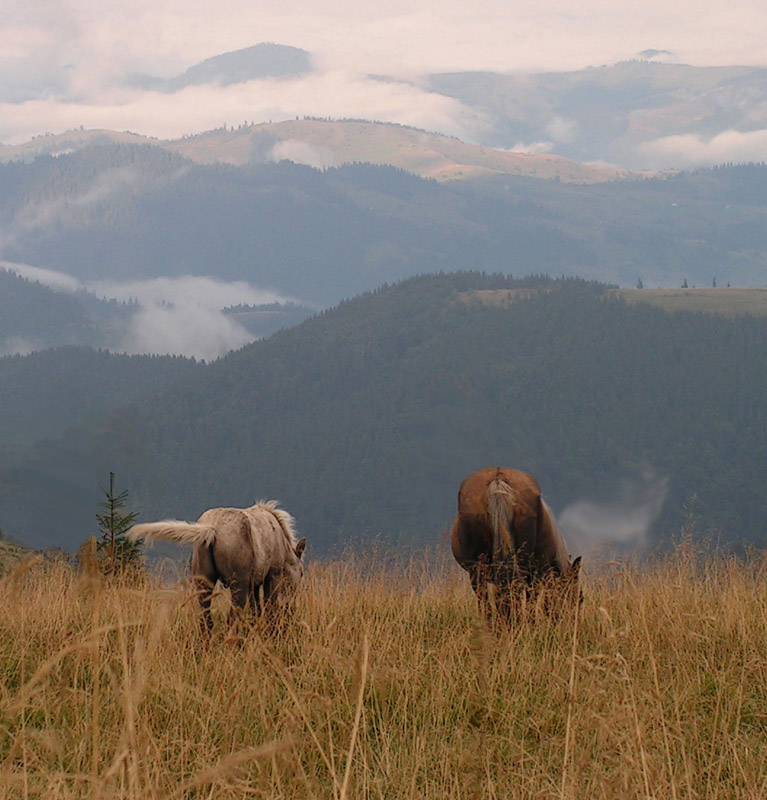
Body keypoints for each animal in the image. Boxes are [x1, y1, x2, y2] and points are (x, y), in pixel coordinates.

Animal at [127, 496, 304, 636]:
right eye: (301, 573)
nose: (293, 605)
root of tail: (211, 530)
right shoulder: (272, 575)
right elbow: (268, 608)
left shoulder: (255, 581)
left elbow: (256, 609)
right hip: (238, 583)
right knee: (232, 618)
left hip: (204, 579)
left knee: (206, 620)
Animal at [450, 468, 584, 620]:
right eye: (580, 598)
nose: (574, 621)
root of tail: (497, 481)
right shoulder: (536, 573)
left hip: (478, 570)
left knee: (488, 602)